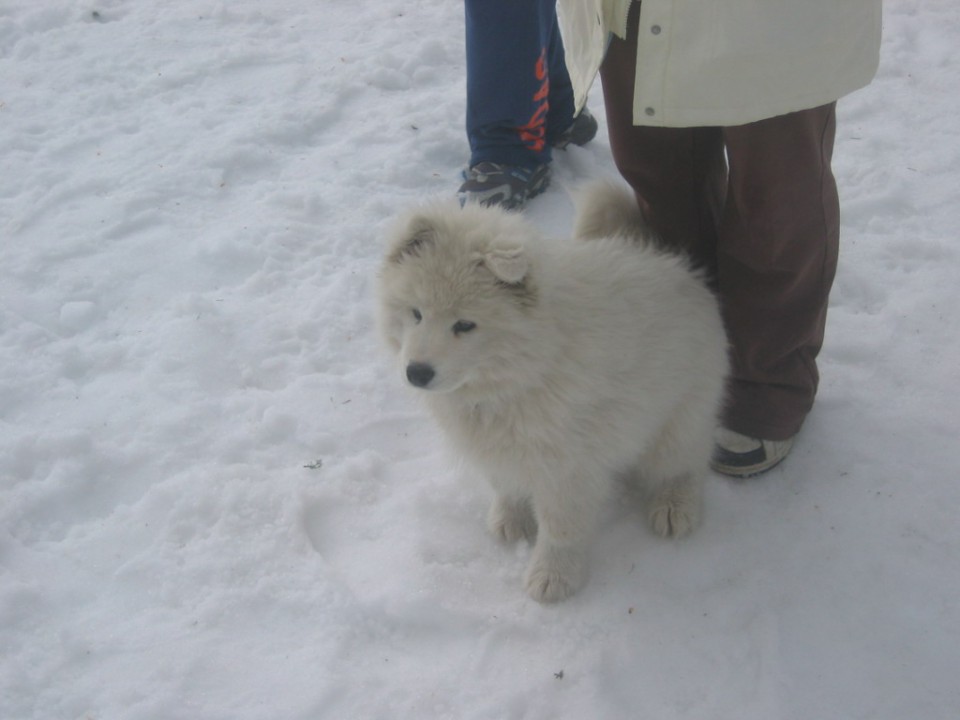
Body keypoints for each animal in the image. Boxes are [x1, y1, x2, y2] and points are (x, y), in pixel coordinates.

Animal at [376, 181, 728, 600]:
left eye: (464, 325)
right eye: (416, 313)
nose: (417, 372)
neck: (522, 372)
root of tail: (680, 270)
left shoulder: (567, 464)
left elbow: (562, 527)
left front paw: (553, 578)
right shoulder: (497, 443)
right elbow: (504, 483)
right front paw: (511, 519)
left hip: (678, 416)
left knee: (686, 461)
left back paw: (675, 506)